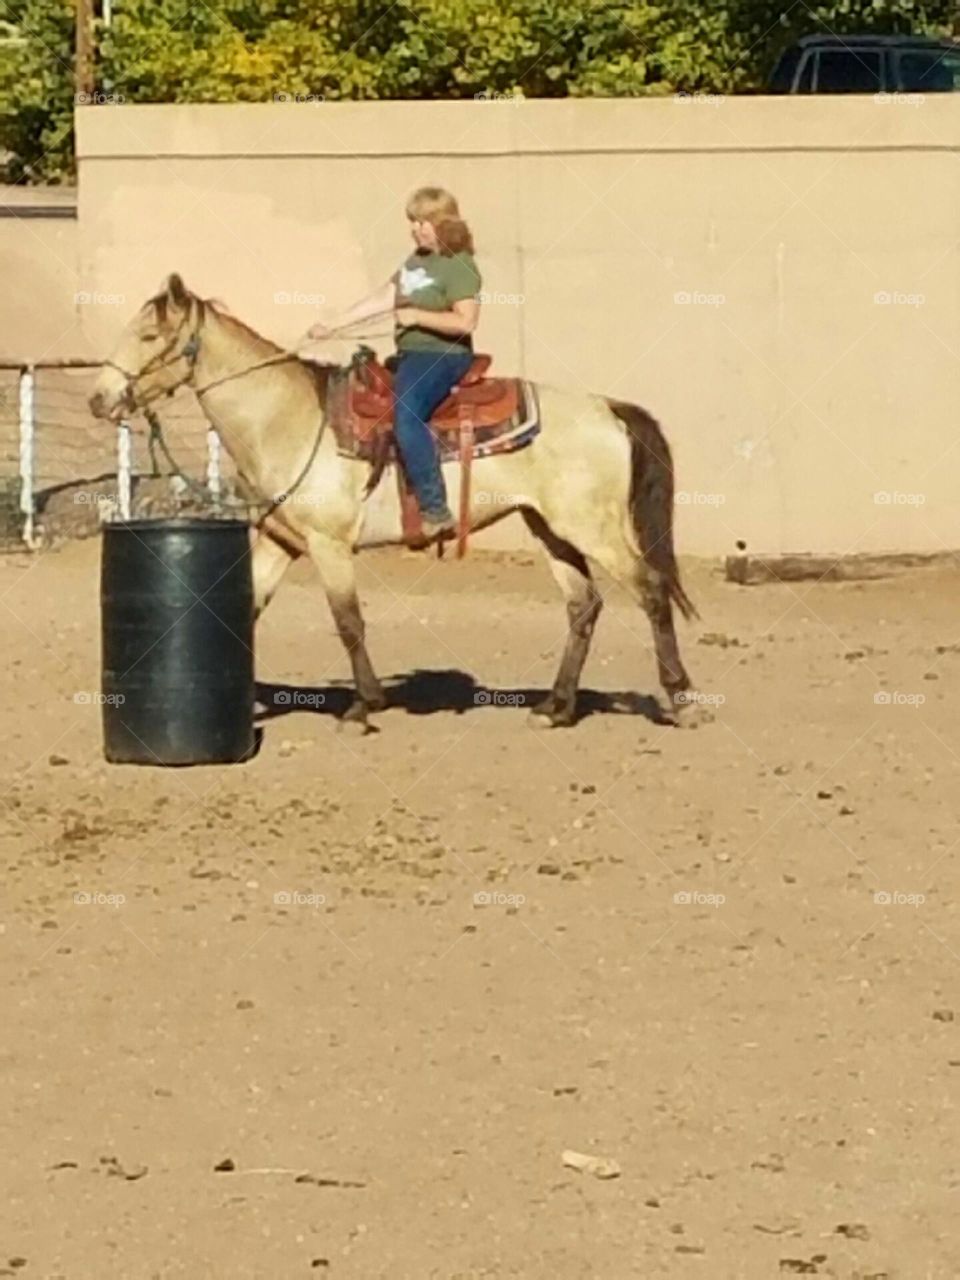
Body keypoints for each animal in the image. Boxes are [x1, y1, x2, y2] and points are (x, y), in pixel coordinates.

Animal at [90, 272, 706, 732]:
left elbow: (348, 621)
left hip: (592, 528)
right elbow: (247, 611)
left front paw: (364, 706)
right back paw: (555, 708)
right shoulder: (279, 541)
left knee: (651, 592)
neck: (290, 418)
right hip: (549, 528)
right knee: (584, 607)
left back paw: (679, 699)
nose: (100, 399)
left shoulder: (329, 544)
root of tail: (607, 408)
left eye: (149, 337)